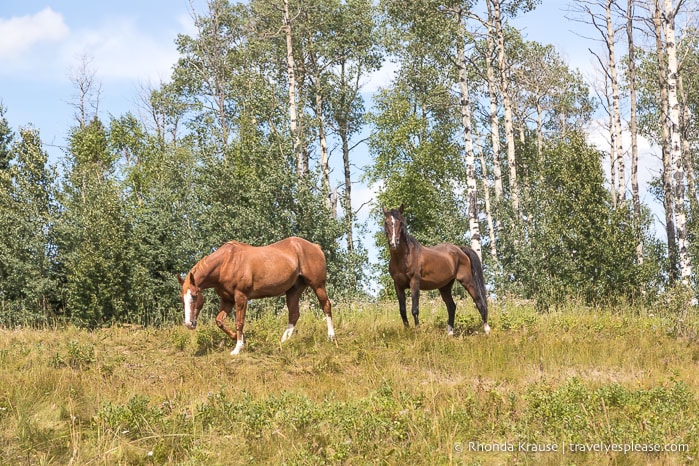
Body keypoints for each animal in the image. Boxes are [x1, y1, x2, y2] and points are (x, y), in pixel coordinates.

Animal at [178, 237, 336, 354]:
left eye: (194, 296)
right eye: (182, 299)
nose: (189, 324)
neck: (226, 262)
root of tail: (315, 247)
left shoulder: (241, 297)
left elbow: (239, 322)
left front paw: (238, 348)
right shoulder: (227, 300)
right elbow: (219, 321)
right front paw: (241, 339)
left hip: (318, 285)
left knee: (326, 306)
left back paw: (331, 337)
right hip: (293, 291)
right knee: (294, 314)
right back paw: (283, 341)